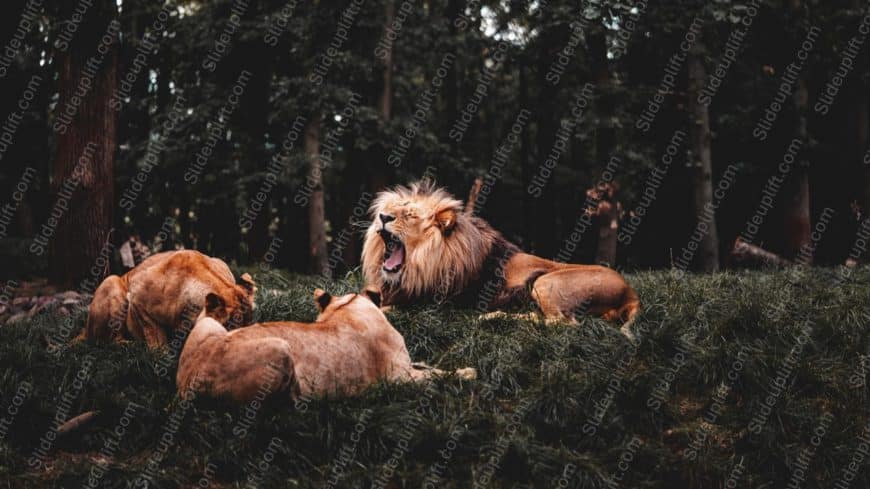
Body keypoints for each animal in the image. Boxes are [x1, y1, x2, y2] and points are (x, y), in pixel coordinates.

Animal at [79, 252, 258, 346]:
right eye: (231, 326)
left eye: (249, 324)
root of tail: (84, 329)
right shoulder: (137, 296)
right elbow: (155, 336)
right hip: (112, 281)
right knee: (105, 340)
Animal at [178, 288, 476, 398]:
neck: (348, 306)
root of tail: (188, 381)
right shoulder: (398, 378)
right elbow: (438, 375)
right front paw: (468, 373)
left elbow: (431, 366)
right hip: (280, 348)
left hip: (207, 322)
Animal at [362, 181, 640, 338]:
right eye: (392, 210)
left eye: (409, 215)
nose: (383, 217)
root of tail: (631, 293)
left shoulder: (433, 304)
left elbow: (385, 308)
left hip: (546, 283)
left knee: (564, 323)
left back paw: (494, 317)